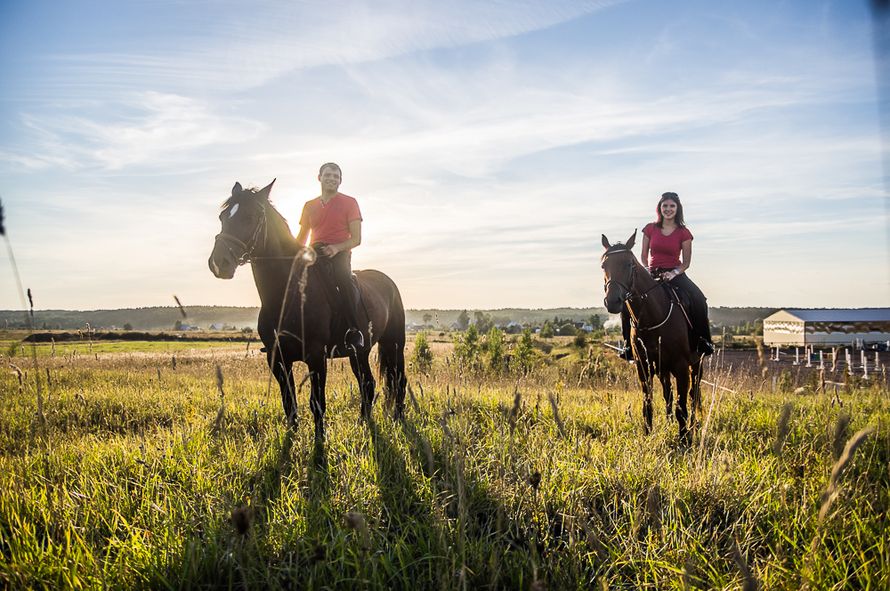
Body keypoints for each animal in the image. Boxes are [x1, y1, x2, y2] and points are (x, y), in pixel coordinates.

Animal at [208, 180, 406, 440]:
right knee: (368, 384)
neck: (287, 295)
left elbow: (317, 402)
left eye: (250, 217)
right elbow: (289, 402)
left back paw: (399, 420)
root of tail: (388, 282)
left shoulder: (316, 356)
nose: (218, 263)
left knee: (399, 382)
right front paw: (291, 438)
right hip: (359, 352)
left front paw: (320, 443)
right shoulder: (277, 360)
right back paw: (363, 423)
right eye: (223, 217)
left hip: (395, 344)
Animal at [604, 231, 700, 444]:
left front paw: (684, 439)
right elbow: (648, 404)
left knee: (694, 395)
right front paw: (648, 434)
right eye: (604, 265)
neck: (653, 315)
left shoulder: (681, 367)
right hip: (662, 369)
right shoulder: (644, 366)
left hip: (696, 364)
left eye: (629, 264)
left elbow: (682, 405)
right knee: (668, 394)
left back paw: (694, 425)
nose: (612, 301)